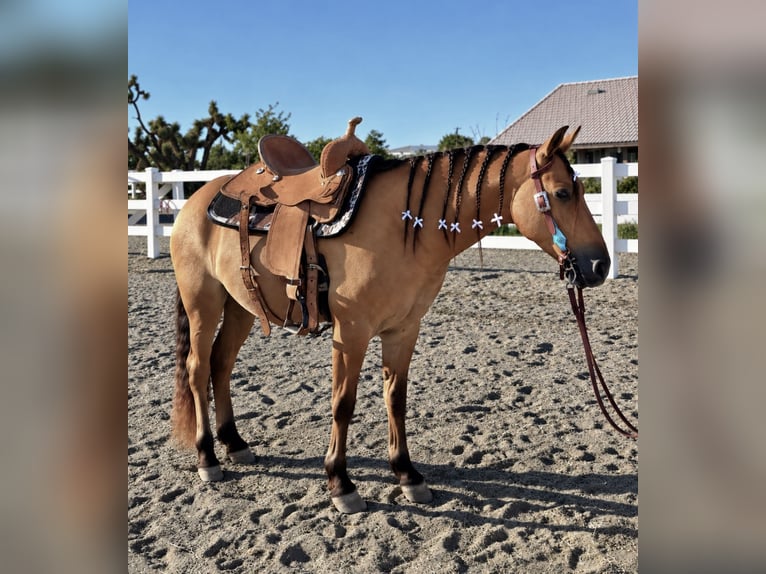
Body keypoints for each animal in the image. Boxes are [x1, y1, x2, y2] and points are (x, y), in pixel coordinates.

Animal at [169, 124, 610, 513]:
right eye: (562, 192)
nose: (600, 266)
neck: (403, 227)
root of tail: (195, 200)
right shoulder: (352, 332)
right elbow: (343, 404)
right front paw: (341, 484)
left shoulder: (404, 329)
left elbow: (395, 398)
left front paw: (408, 475)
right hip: (203, 304)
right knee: (197, 368)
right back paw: (208, 458)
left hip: (240, 307)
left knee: (221, 365)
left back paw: (235, 444)